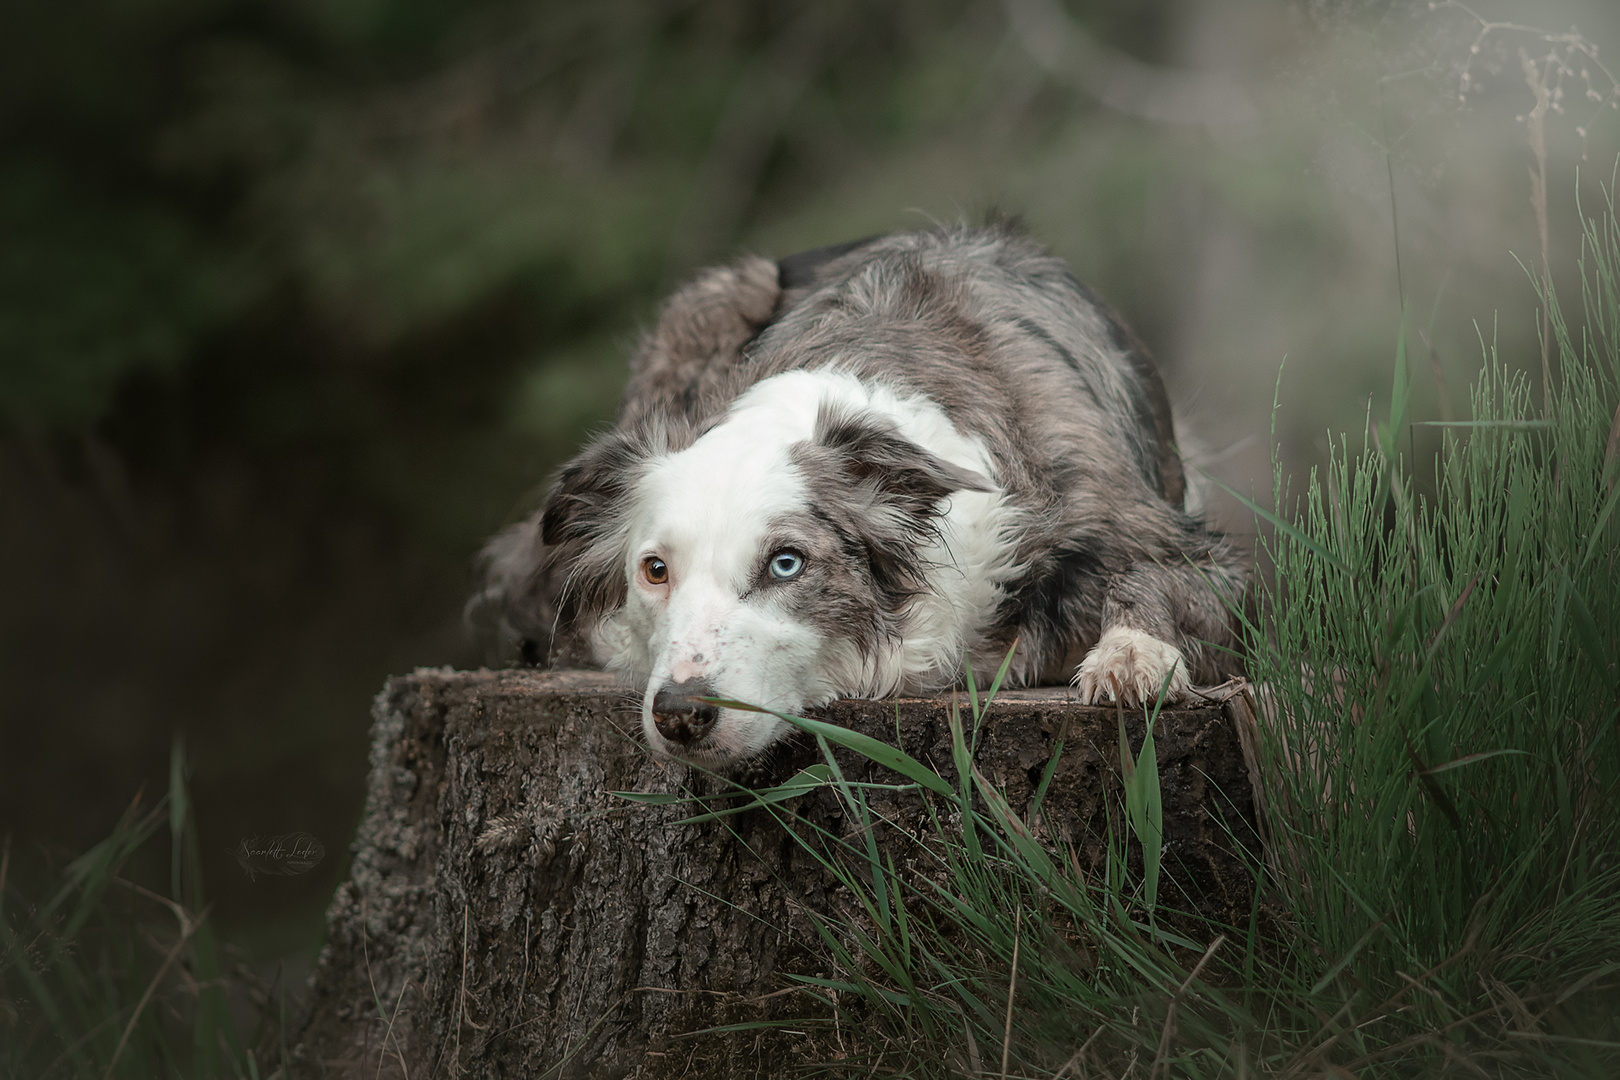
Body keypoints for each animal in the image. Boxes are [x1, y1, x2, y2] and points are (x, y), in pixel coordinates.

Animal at [473, 221, 1244, 767]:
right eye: (654, 570)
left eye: (786, 563)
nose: (680, 715)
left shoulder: (1203, 556)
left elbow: (1154, 578)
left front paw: (1132, 656)